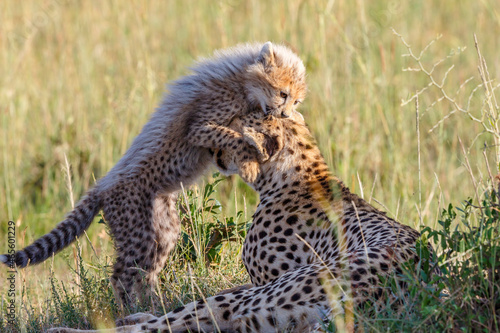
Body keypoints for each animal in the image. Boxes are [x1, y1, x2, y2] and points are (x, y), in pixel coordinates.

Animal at [0, 42, 306, 306]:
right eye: (283, 93)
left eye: (296, 101)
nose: (286, 114)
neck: (243, 83)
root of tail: (102, 185)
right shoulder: (199, 127)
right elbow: (232, 135)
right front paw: (256, 155)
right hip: (135, 231)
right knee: (121, 275)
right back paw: (130, 310)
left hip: (161, 230)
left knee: (146, 270)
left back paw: (154, 305)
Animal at [48, 110, 436, 330]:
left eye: (233, 125)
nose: (209, 146)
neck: (297, 171)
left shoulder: (262, 284)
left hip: (260, 303)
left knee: (175, 323)